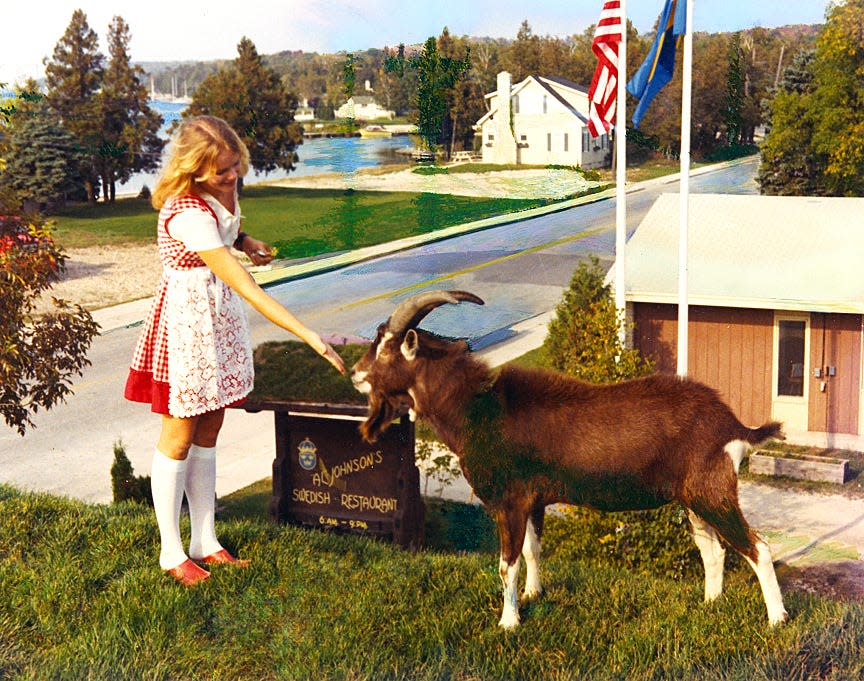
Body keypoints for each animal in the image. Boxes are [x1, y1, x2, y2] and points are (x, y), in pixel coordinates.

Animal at [352, 286, 788, 628]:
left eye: (387, 349)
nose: (355, 373)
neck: (477, 409)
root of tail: (733, 425)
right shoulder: (532, 500)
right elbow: (532, 550)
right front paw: (533, 595)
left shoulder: (508, 501)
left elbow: (507, 562)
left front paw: (508, 622)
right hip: (693, 498)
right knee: (713, 550)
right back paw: (709, 605)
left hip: (713, 491)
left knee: (758, 547)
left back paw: (777, 620)